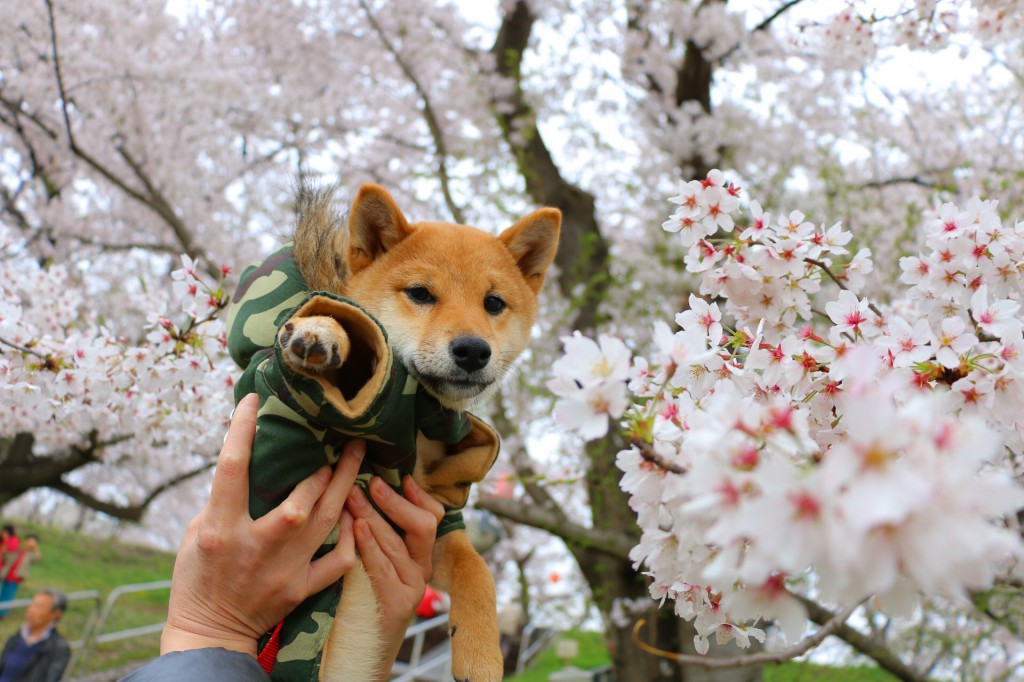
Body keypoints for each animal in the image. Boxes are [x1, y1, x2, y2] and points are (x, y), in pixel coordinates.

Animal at [272, 183, 561, 675]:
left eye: (494, 303)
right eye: (421, 293)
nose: (472, 350)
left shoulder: (438, 524)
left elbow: (479, 573)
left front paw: (481, 659)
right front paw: (323, 330)